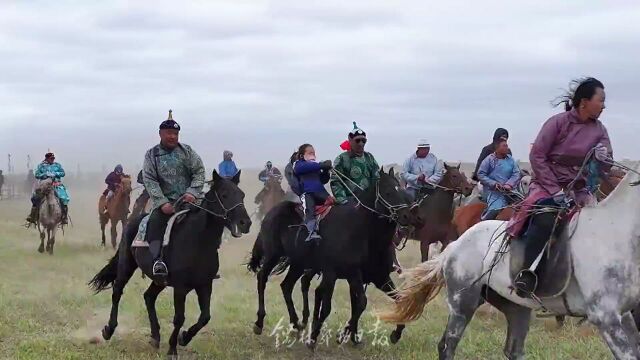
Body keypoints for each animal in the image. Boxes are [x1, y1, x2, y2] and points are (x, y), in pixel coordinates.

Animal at [89, 171, 249, 358]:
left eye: (242, 195)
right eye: (224, 195)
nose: (246, 223)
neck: (198, 240)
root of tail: (133, 222)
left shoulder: (205, 284)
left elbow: (205, 316)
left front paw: (184, 338)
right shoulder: (180, 288)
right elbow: (179, 318)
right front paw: (172, 348)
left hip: (159, 280)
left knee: (148, 297)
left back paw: (155, 337)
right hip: (126, 265)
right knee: (117, 292)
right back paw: (109, 330)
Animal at [245, 169, 416, 348]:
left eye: (403, 192)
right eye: (388, 192)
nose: (406, 217)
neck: (363, 232)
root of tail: (271, 213)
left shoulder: (379, 277)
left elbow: (398, 299)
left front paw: (395, 333)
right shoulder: (344, 273)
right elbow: (347, 304)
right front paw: (321, 337)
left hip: (298, 264)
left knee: (287, 286)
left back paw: (296, 325)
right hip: (273, 255)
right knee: (262, 277)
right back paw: (260, 322)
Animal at [382, 163, 640, 360]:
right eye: (454, 176)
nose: (466, 187)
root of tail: (456, 246)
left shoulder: (624, 316)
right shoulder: (607, 318)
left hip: (515, 307)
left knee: (512, 349)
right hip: (463, 303)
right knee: (447, 345)